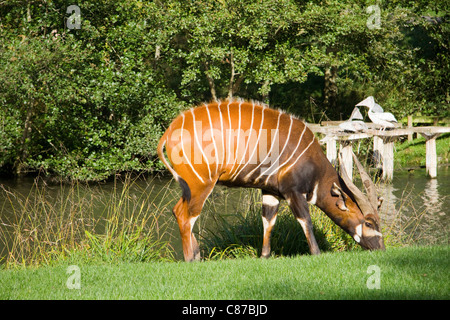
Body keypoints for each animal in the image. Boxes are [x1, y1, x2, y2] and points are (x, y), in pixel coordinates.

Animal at [156, 99, 384, 262]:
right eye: (369, 222)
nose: (381, 248)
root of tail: (168, 132)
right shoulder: (293, 192)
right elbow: (305, 221)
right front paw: (316, 253)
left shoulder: (270, 192)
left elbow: (268, 221)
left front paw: (264, 256)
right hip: (201, 184)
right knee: (186, 215)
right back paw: (191, 259)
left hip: (190, 186)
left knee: (178, 211)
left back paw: (196, 256)